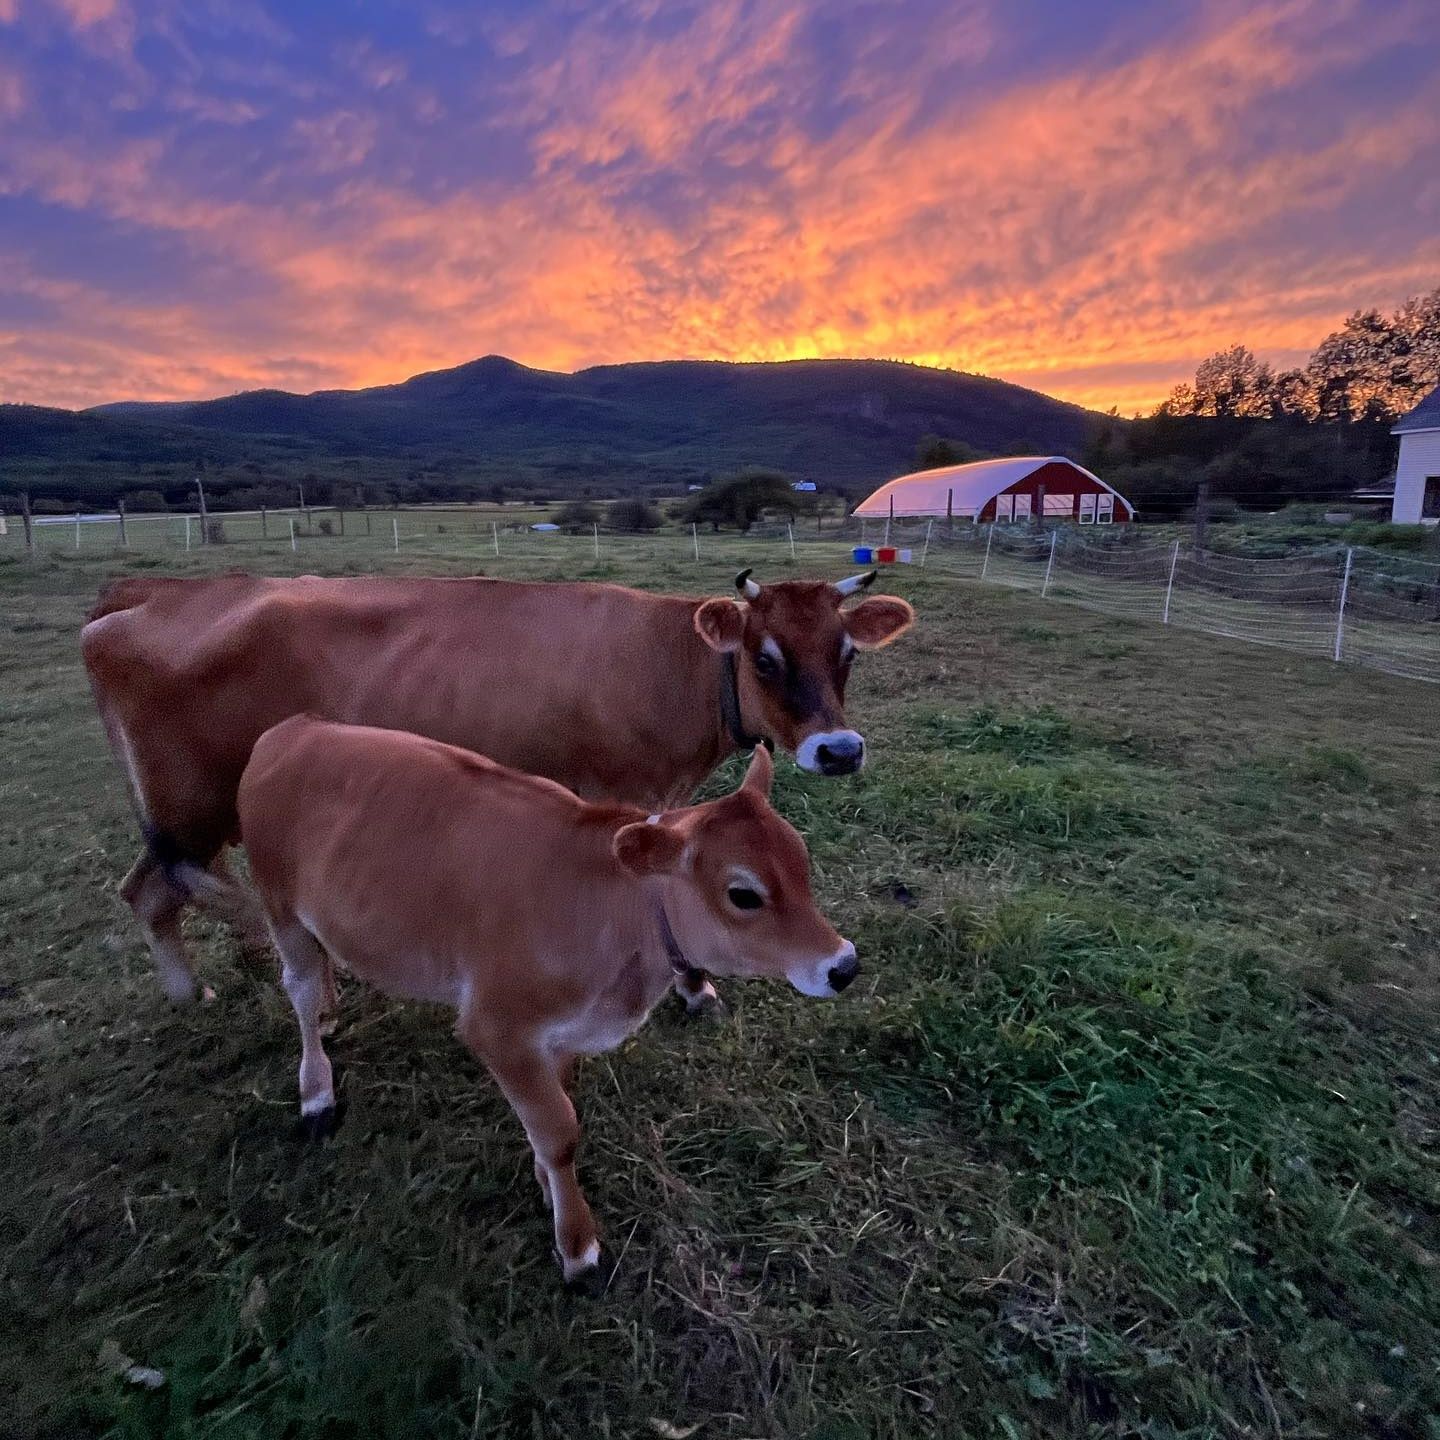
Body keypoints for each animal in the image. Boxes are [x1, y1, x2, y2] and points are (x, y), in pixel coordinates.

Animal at [81, 567, 910, 1008]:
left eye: (846, 652)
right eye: (766, 658)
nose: (839, 751)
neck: (669, 663)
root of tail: (147, 592)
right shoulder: (630, 790)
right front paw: (692, 986)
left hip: (198, 811)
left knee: (157, 888)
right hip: (191, 801)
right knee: (164, 886)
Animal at [234, 720, 852, 1284]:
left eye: (802, 862)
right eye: (743, 894)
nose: (844, 965)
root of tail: (291, 729)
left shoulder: (563, 1030)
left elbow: (555, 1110)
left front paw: (544, 1180)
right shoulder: (497, 1028)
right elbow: (559, 1131)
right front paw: (577, 1247)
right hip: (279, 905)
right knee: (299, 989)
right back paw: (316, 1091)